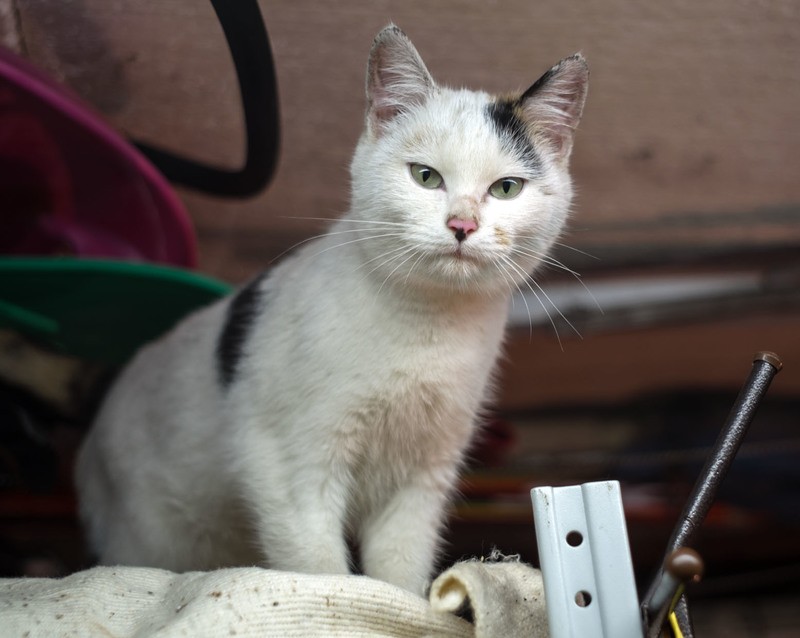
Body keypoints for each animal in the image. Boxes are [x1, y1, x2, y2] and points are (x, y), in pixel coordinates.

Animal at [75, 23, 588, 596]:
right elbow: (318, 568)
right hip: (145, 535)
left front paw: (409, 607)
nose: (462, 225)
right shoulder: (289, 467)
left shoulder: (421, 481)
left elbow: (400, 570)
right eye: (426, 177)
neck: (427, 327)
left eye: (506, 188)